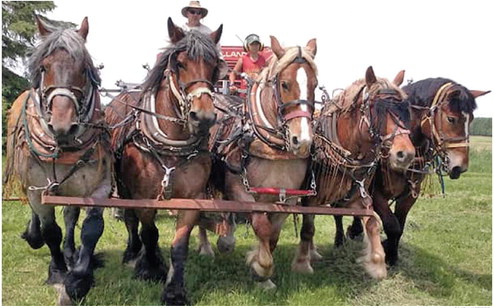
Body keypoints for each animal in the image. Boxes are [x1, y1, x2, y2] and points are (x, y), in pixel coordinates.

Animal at [2, 16, 111, 304]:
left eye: (84, 69)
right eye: (44, 67)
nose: (63, 125)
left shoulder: (98, 187)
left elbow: (91, 228)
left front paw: (79, 279)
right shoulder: (37, 189)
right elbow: (51, 230)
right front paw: (58, 272)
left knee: (71, 216)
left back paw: (71, 252)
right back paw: (34, 235)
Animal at [104, 18, 224, 304]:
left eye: (215, 66)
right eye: (179, 63)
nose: (203, 117)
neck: (172, 143)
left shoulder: (192, 199)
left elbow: (179, 246)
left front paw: (174, 291)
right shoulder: (142, 196)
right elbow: (150, 232)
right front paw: (151, 268)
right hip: (123, 187)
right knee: (130, 220)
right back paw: (133, 253)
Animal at [203, 36, 318, 288]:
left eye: (314, 84)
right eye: (284, 84)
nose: (302, 140)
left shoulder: (288, 198)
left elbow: (273, 235)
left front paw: (261, 271)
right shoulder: (242, 192)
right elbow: (262, 227)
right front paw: (261, 270)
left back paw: (226, 239)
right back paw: (207, 246)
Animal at [294, 67, 416, 280]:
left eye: (405, 110)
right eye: (377, 110)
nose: (406, 154)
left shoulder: (360, 196)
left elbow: (373, 224)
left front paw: (377, 263)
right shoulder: (311, 197)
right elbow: (308, 228)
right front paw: (303, 263)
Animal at [344, 77, 490, 264]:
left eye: (471, 119)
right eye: (451, 119)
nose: (460, 167)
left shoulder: (409, 195)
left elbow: (399, 225)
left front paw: (392, 253)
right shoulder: (376, 194)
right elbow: (392, 225)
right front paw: (387, 252)